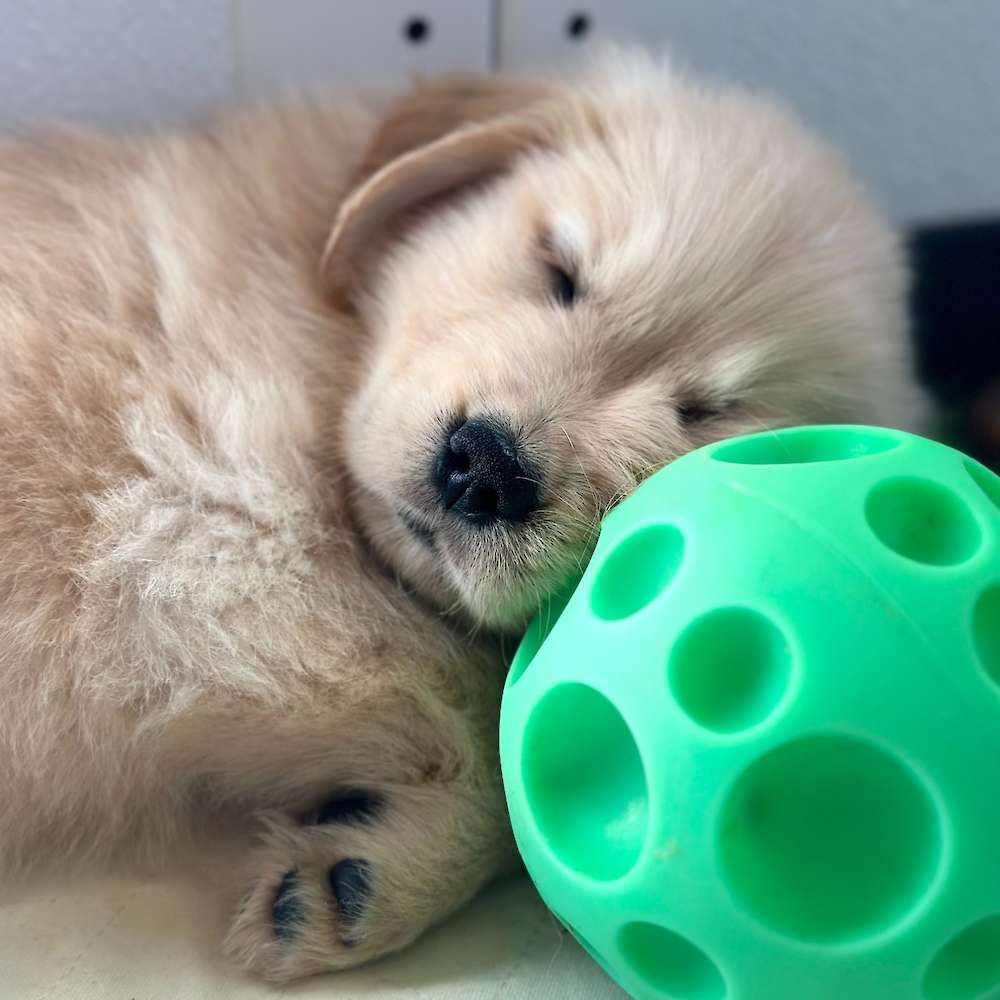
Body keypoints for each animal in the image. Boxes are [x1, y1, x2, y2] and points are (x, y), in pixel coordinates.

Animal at [0, 49, 922, 981]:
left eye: (704, 414)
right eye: (559, 270)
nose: (485, 469)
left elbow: (509, 724)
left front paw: (363, 876)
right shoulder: (212, 542)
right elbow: (478, 707)